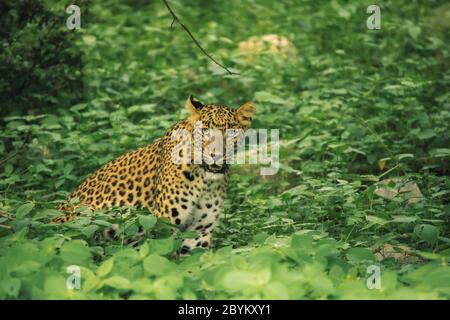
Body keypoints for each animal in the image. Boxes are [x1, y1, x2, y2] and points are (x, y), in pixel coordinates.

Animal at [53, 96, 253, 254]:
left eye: (231, 133)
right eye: (204, 130)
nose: (216, 155)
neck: (204, 181)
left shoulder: (199, 232)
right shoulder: (165, 225)